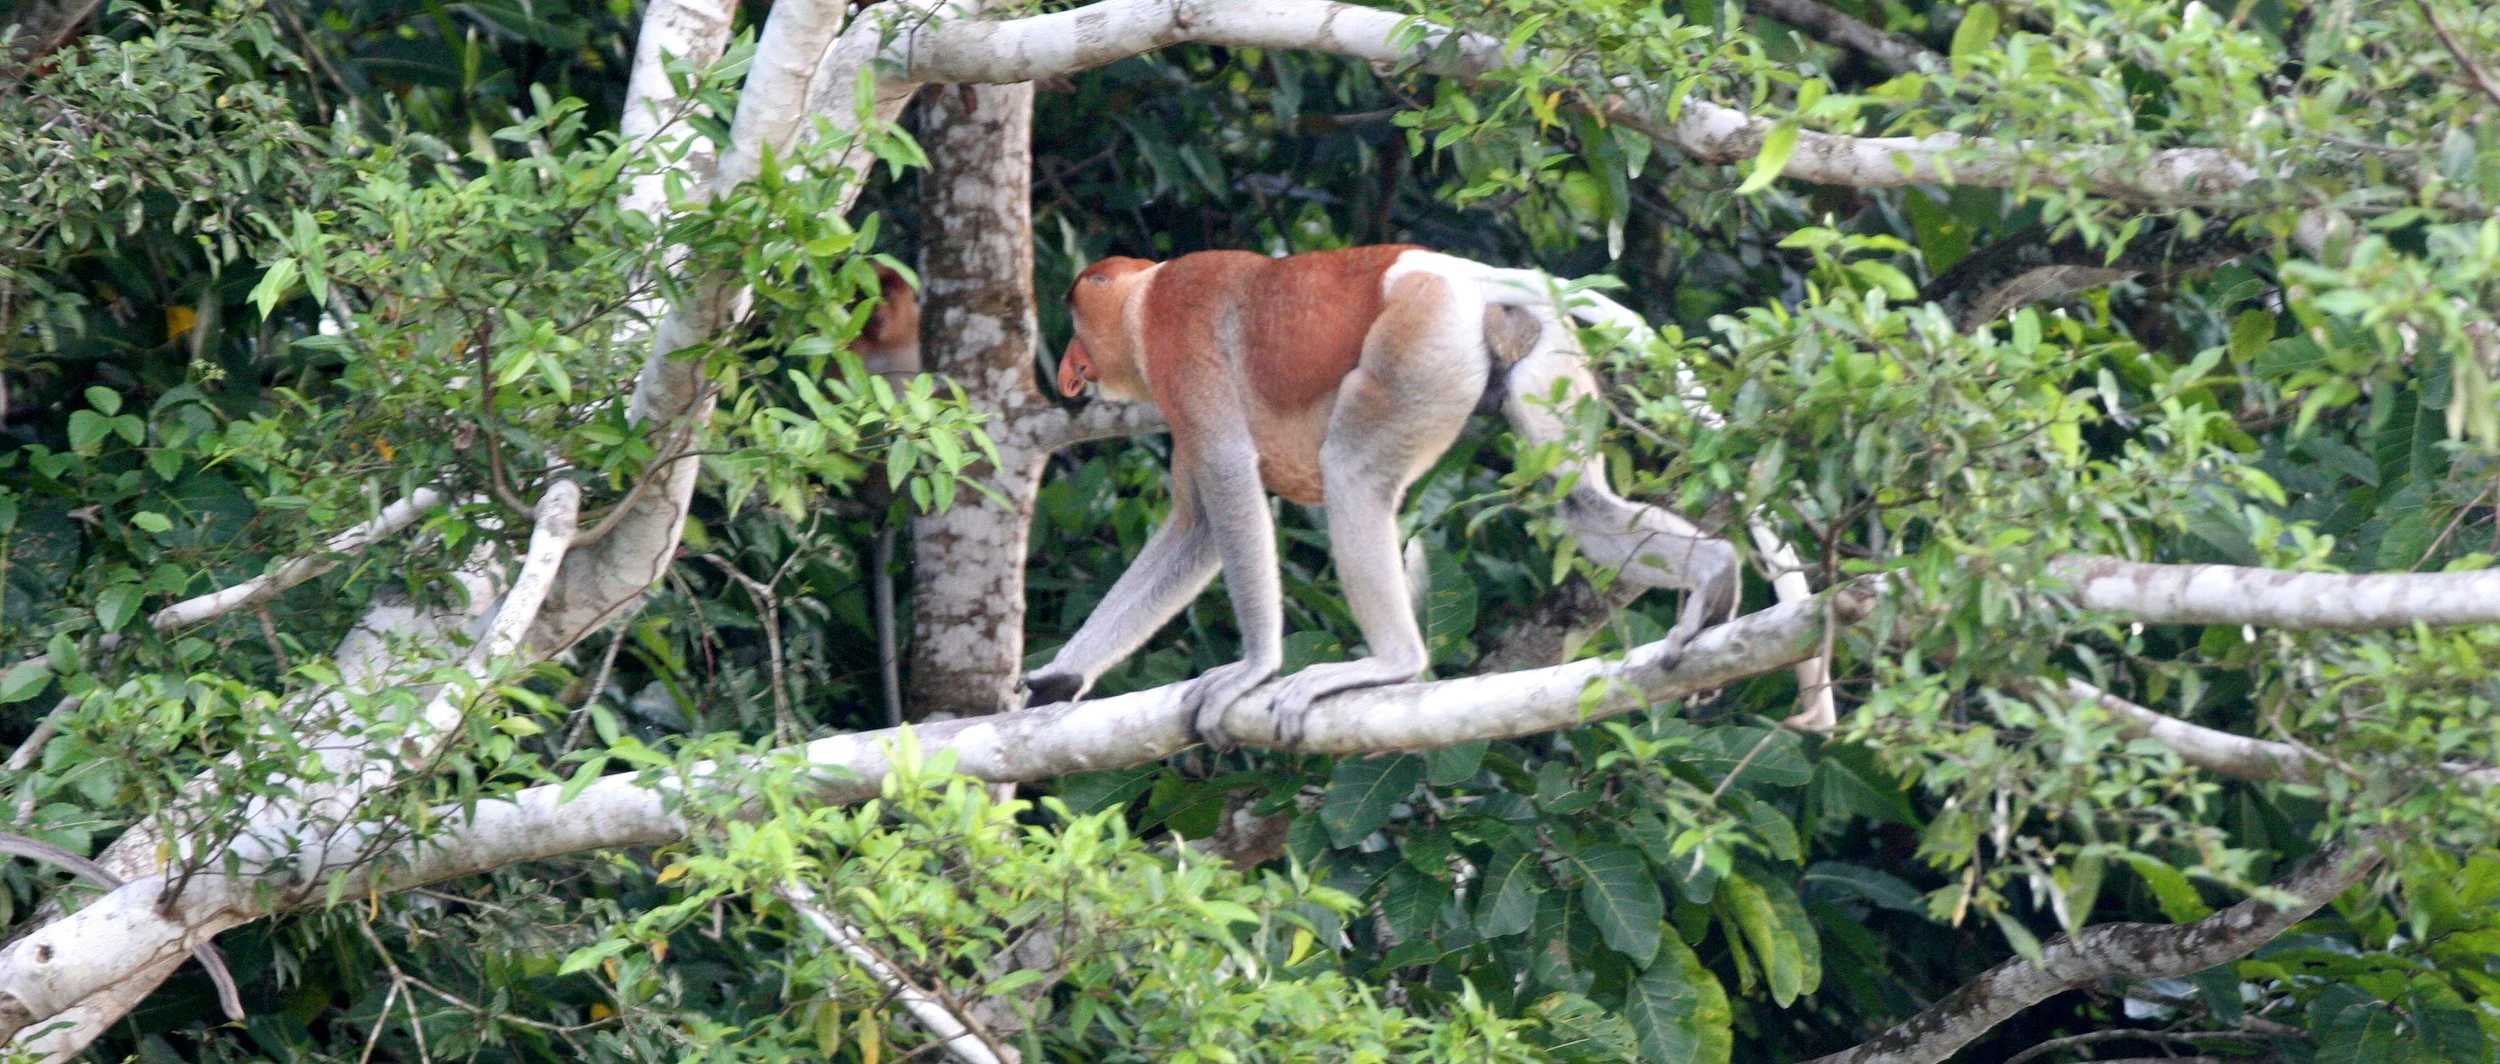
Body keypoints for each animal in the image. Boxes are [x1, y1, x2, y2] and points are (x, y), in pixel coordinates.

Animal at [1023, 245, 1742, 748]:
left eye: (1079, 319)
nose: (1069, 366)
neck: (1143, 302)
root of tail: (1461, 273)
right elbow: (1195, 526)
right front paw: (1057, 681)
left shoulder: (1180, 342)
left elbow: (1228, 479)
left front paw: (1254, 668)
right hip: (1541, 354)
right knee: (1579, 501)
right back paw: (1715, 577)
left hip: (1417, 345)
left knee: (1352, 473)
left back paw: (1393, 663)